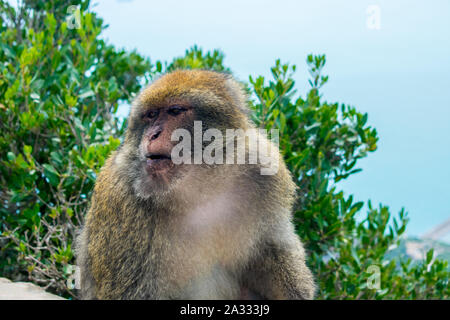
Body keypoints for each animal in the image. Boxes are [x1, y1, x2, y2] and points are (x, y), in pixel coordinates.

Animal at [75, 70, 314, 300]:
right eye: (151, 115)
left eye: (175, 111)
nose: (152, 134)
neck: (201, 187)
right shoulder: (119, 195)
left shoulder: (264, 170)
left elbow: (273, 249)